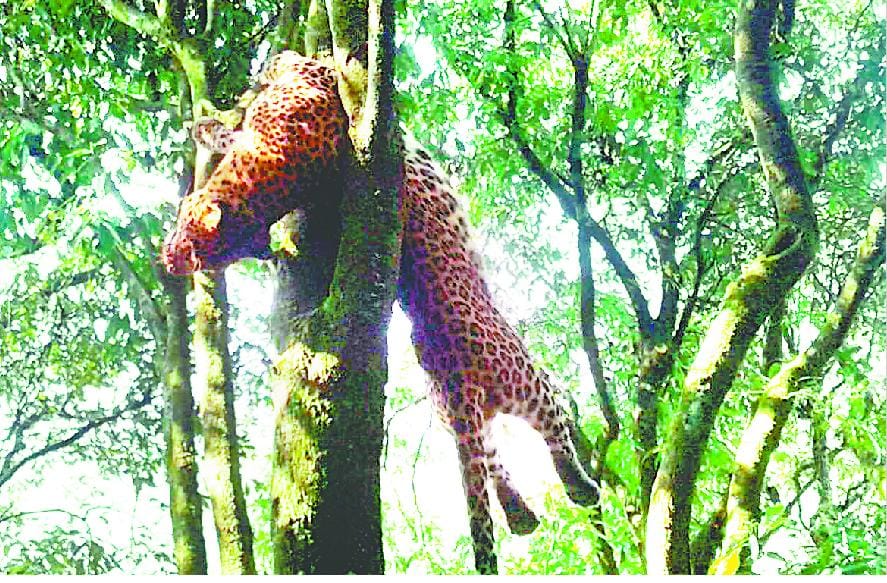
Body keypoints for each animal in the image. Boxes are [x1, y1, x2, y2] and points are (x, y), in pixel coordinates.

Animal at [162, 51, 597, 575]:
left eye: (191, 248)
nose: (166, 262)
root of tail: (453, 376)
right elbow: (288, 79)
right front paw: (266, 76)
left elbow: (239, 125)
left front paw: (211, 122)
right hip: (521, 378)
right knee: (548, 425)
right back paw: (577, 486)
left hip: (455, 414)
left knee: (488, 463)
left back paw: (523, 515)